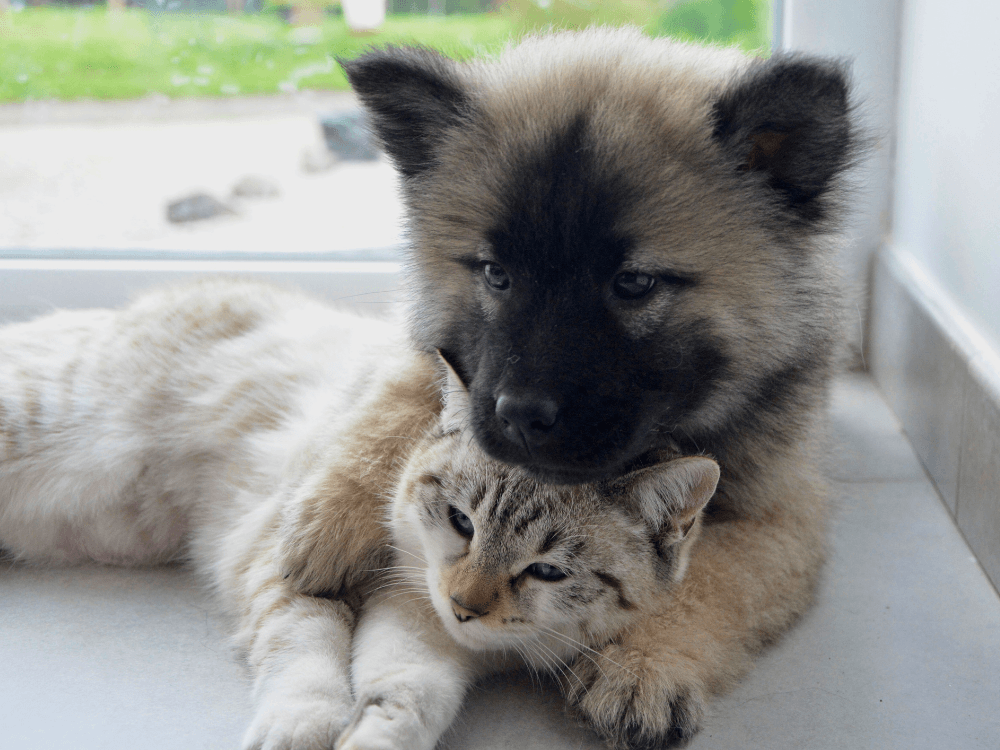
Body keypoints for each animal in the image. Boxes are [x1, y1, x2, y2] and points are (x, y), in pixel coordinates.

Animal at [0, 280, 720, 750]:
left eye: (546, 571)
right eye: (461, 522)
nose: (464, 605)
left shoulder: (425, 637)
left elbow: (405, 696)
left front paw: (372, 735)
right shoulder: (291, 567)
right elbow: (307, 647)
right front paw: (302, 730)